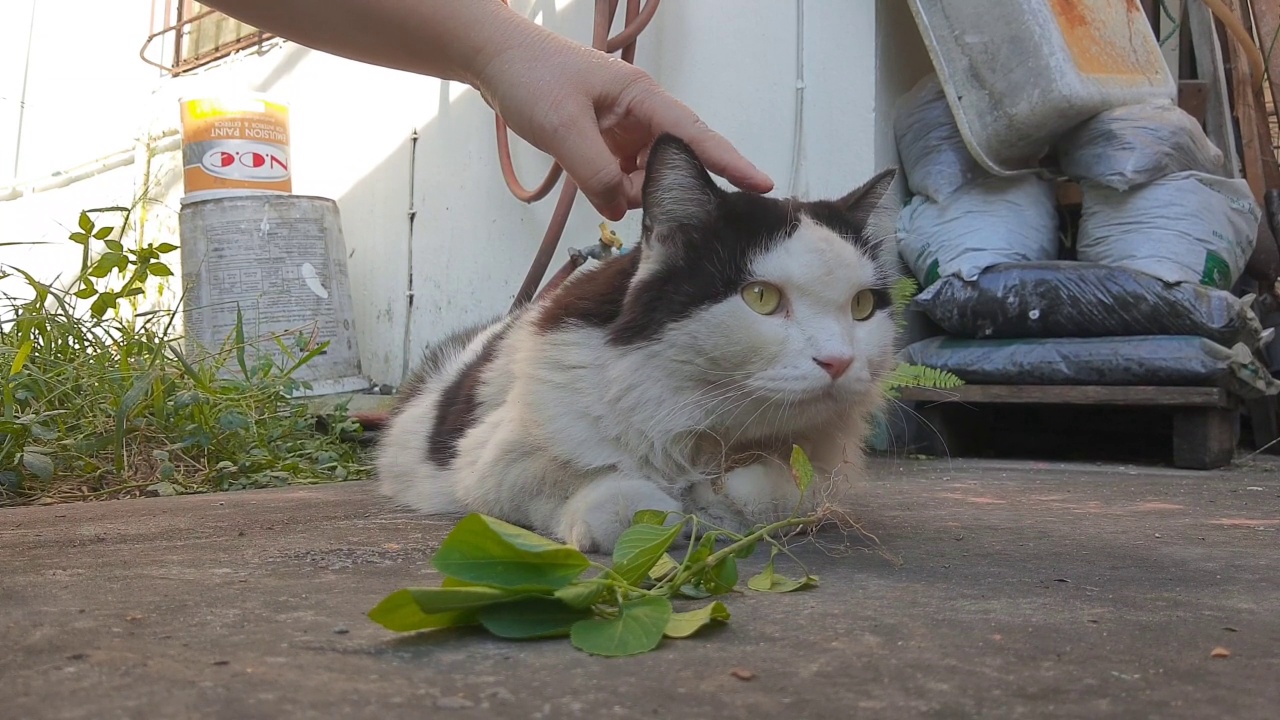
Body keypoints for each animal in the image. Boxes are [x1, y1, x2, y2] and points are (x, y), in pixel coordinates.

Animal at [373, 133, 901, 548]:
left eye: (861, 307)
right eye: (762, 297)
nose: (839, 361)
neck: (700, 431)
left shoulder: (822, 472)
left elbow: (791, 490)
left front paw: (722, 498)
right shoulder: (488, 457)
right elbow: (570, 480)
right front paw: (639, 504)